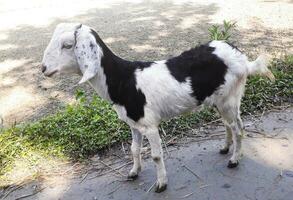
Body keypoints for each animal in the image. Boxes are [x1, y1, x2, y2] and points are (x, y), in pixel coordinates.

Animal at [41, 22, 274, 193]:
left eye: (68, 45)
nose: (43, 69)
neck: (124, 80)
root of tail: (243, 59)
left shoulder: (150, 124)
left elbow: (155, 155)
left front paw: (161, 184)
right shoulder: (134, 124)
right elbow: (134, 149)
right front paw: (134, 172)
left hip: (230, 98)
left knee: (238, 128)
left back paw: (234, 159)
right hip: (219, 99)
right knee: (228, 124)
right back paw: (225, 148)